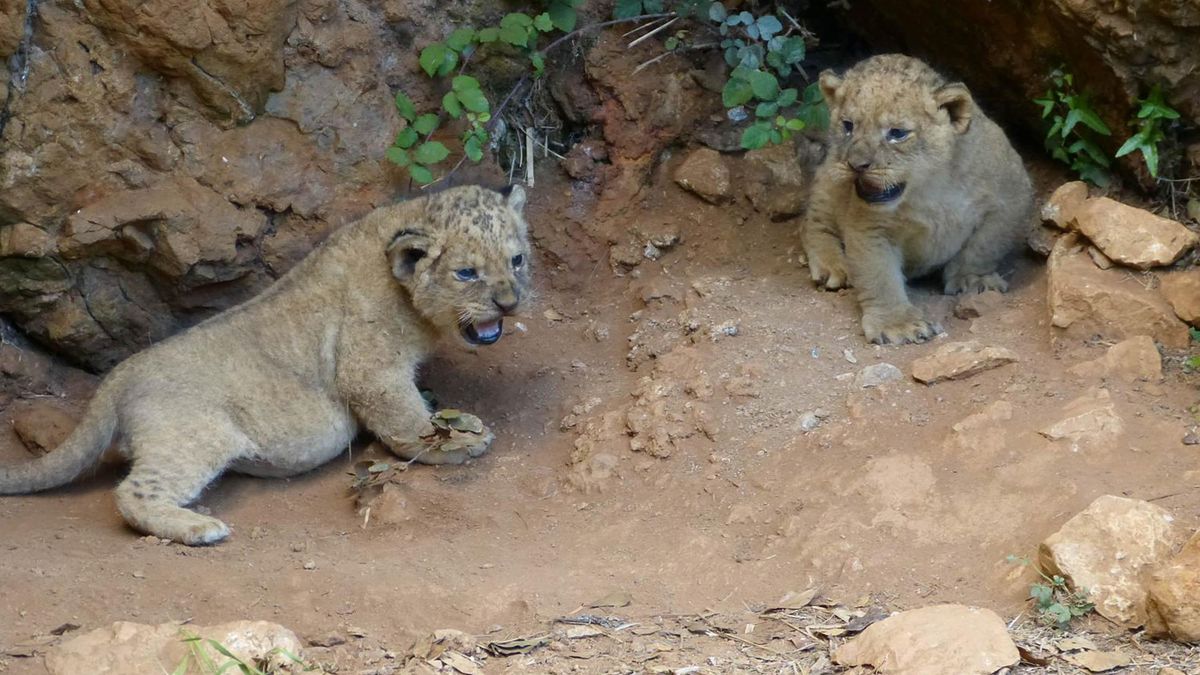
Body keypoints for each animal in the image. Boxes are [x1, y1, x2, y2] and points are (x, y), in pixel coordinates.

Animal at [0, 185, 532, 545]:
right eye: (466, 273)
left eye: (518, 260)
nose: (509, 303)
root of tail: (117, 377)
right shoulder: (370, 369)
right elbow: (406, 424)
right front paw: (454, 444)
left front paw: (452, 419)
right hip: (194, 436)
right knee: (133, 492)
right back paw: (199, 527)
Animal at [801, 54, 1034, 344]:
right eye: (848, 126)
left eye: (897, 133)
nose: (856, 165)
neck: (929, 187)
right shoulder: (870, 226)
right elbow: (879, 275)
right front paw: (897, 324)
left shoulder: (1012, 195)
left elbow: (984, 246)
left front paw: (973, 280)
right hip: (829, 178)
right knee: (812, 223)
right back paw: (833, 266)